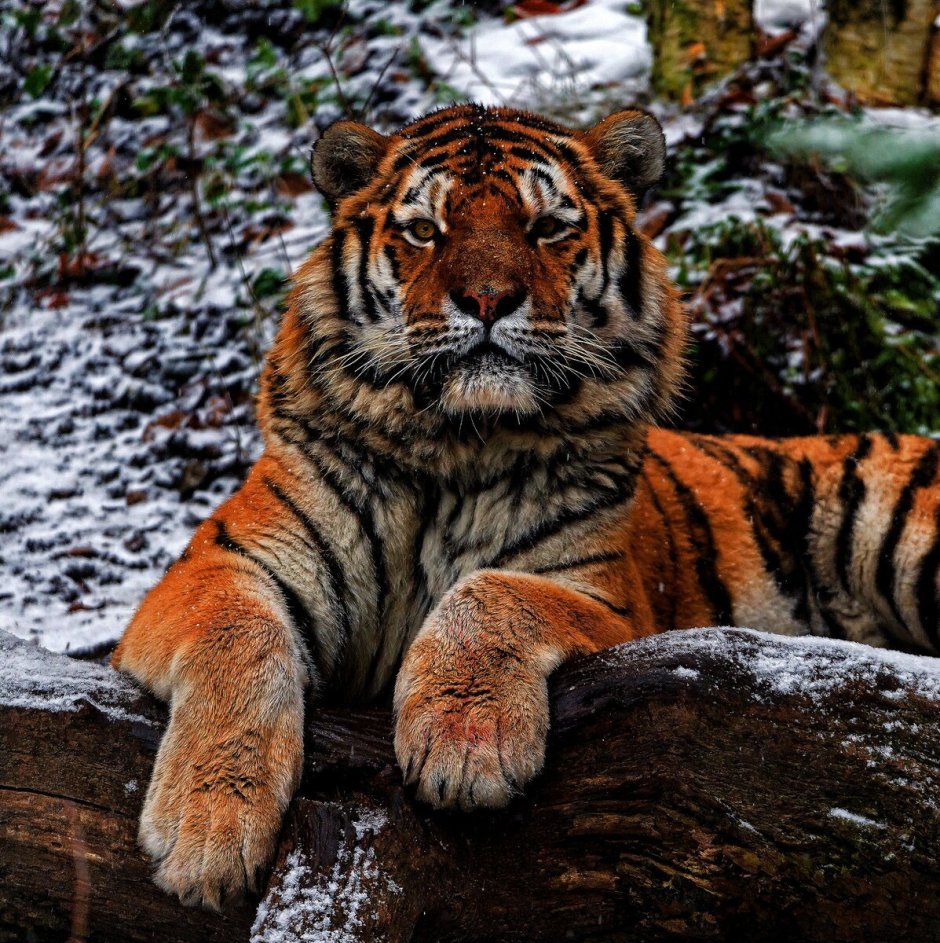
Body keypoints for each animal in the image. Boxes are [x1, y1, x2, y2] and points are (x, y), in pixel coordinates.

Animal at [112, 102, 940, 910]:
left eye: (547, 227)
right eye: (426, 230)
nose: (487, 299)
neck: (456, 450)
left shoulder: (608, 596)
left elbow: (492, 592)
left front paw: (463, 743)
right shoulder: (222, 564)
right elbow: (240, 640)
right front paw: (206, 830)